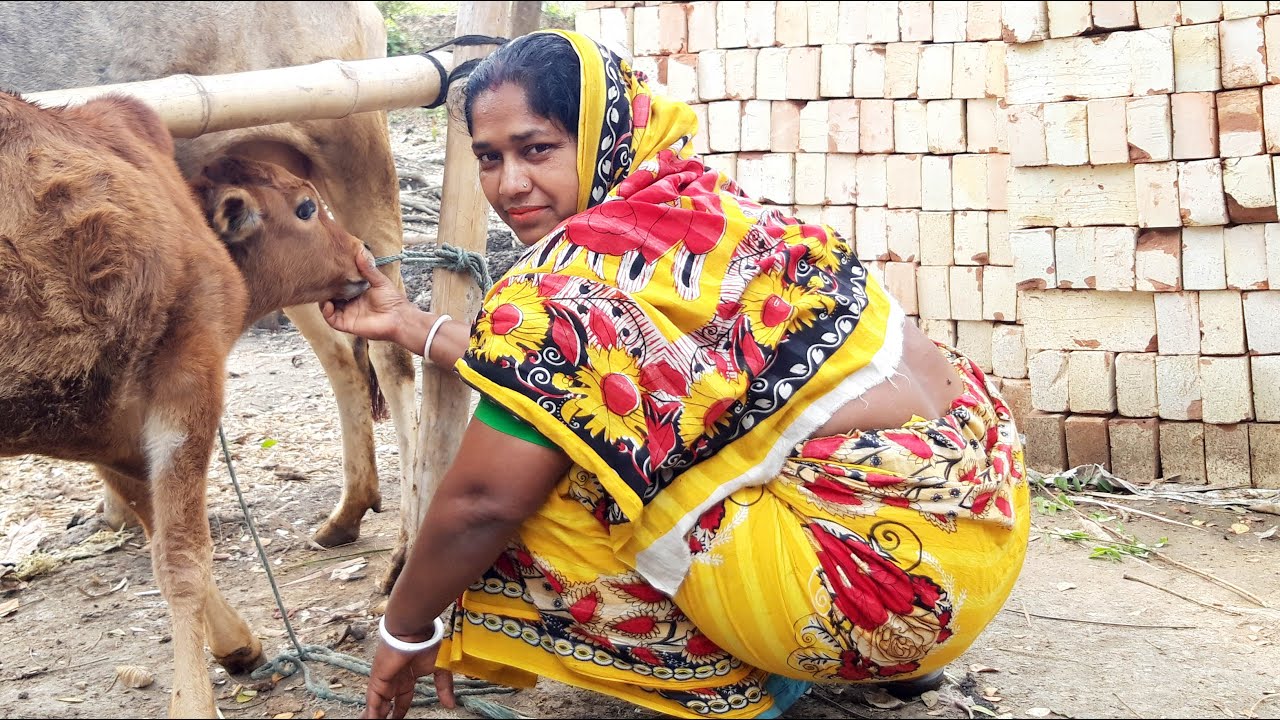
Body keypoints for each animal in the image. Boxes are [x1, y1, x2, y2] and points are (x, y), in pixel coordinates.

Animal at [0, 90, 377, 717]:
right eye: (305, 207)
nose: (361, 255)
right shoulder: (188, 384)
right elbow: (182, 557)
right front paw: (197, 698)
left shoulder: (115, 435)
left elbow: (161, 537)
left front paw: (237, 644)